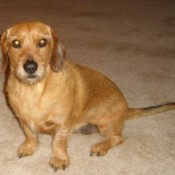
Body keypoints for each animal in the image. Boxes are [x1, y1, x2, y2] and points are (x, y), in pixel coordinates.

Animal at [1, 21, 175, 171]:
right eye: (15, 43)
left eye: (43, 42)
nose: (30, 67)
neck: (33, 90)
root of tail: (126, 108)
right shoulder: (22, 120)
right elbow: (30, 135)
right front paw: (29, 147)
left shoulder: (63, 125)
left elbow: (58, 142)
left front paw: (59, 159)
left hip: (105, 125)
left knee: (119, 138)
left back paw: (100, 147)